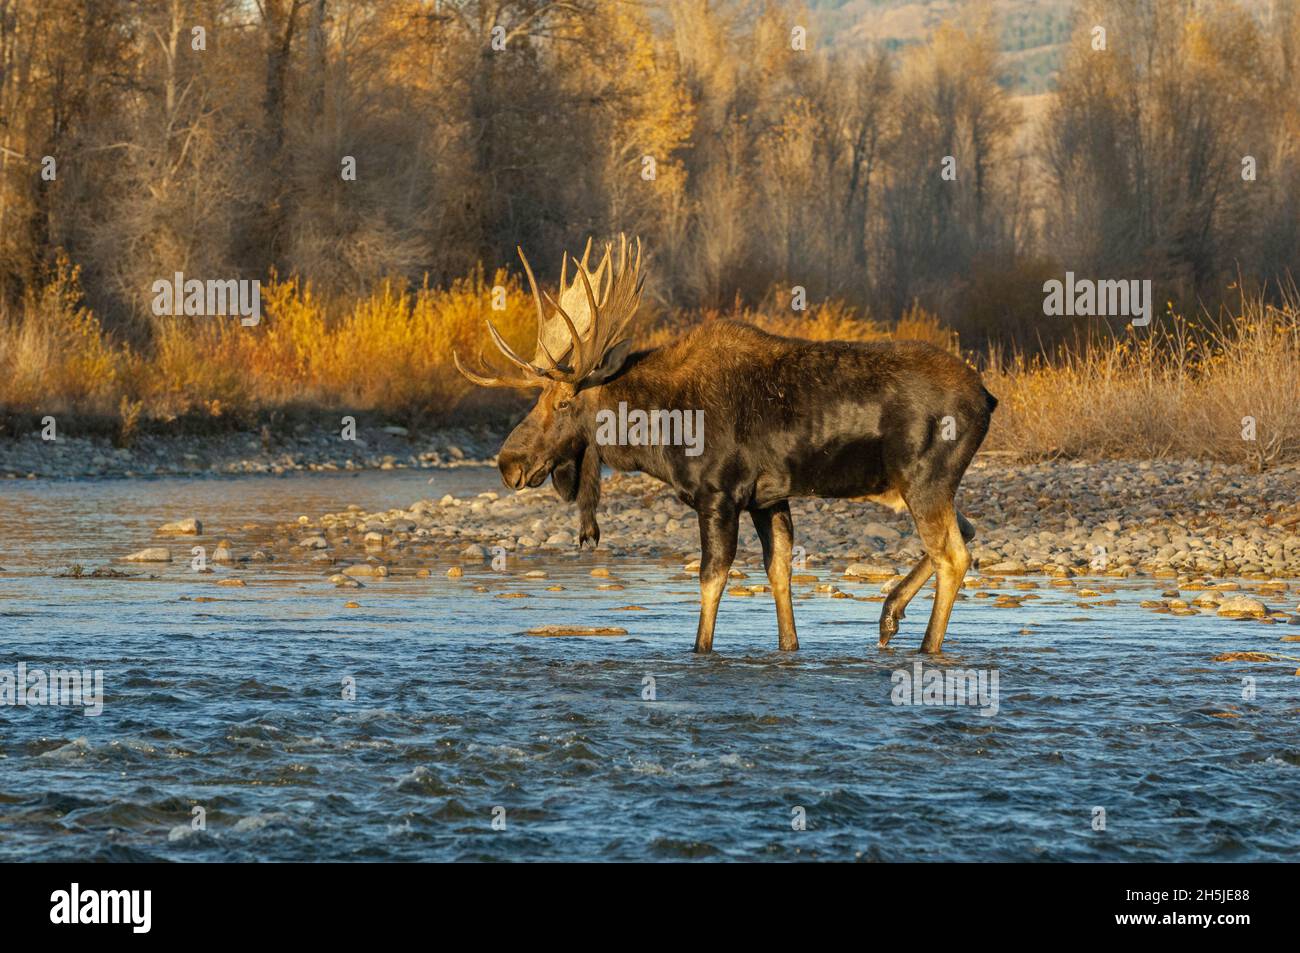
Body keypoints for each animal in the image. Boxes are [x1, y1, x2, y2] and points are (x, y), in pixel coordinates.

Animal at [454, 237, 993, 655]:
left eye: (564, 402)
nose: (508, 463)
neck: (659, 429)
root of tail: (987, 398)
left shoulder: (719, 495)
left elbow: (711, 581)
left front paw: (701, 648)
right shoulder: (768, 499)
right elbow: (779, 575)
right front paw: (789, 647)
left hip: (923, 478)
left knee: (953, 555)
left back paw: (924, 644)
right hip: (921, 484)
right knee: (966, 531)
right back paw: (888, 615)